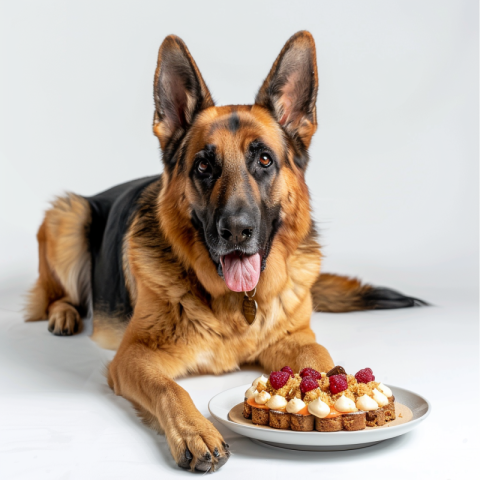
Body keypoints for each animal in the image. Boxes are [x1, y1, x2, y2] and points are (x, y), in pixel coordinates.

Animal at [25, 31, 424, 470]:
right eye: (204, 166)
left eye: (264, 160)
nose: (236, 230)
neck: (237, 305)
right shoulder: (134, 355)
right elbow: (170, 388)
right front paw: (195, 431)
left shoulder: (300, 340)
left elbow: (324, 367)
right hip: (68, 216)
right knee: (55, 294)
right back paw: (63, 315)